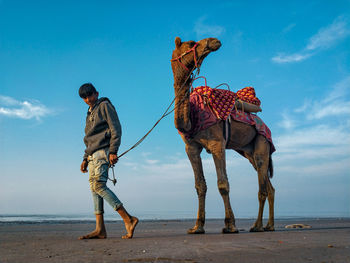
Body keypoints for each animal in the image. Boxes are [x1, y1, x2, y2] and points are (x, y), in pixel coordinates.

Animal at [171, 37, 274, 235]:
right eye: (191, 43)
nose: (214, 41)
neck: (193, 116)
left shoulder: (217, 143)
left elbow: (223, 184)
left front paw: (230, 225)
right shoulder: (191, 147)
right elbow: (200, 185)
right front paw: (197, 226)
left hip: (262, 141)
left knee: (262, 185)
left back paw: (257, 226)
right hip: (248, 151)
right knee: (269, 185)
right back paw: (269, 225)